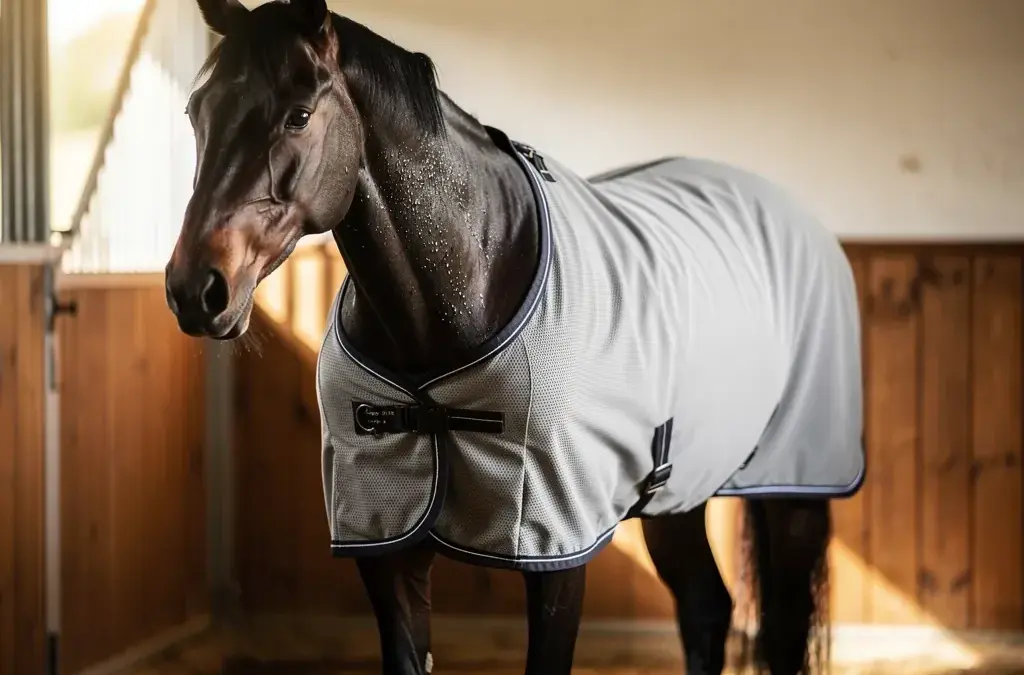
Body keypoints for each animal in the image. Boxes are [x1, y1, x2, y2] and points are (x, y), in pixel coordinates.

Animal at [164, 1, 864, 674]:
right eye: (196, 112)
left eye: (299, 115)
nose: (196, 289)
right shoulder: (385, 547)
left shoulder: (559, 549)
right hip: (680, 489)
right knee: (706, 608)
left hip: (794, 492)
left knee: (780, 630)